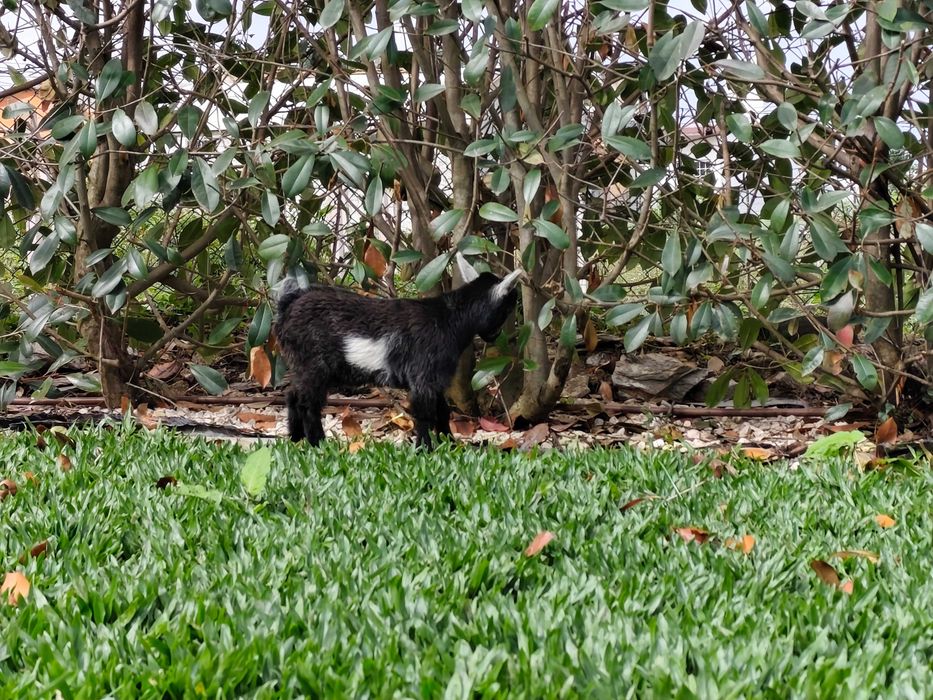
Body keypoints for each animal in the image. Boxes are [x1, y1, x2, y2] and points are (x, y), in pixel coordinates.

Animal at [275, 254, 521, 449]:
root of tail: (288, 305)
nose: (497, 336)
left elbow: (442, 412)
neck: (450, 318)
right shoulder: (423, 377)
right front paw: (424, 449)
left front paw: (450, 444)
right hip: (314, 366)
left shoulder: (436, 381)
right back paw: (317, 443)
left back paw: (296, 439)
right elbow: (425, 414)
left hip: (302, 367)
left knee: (293, 395)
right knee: (308, 403)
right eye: (507, 308)